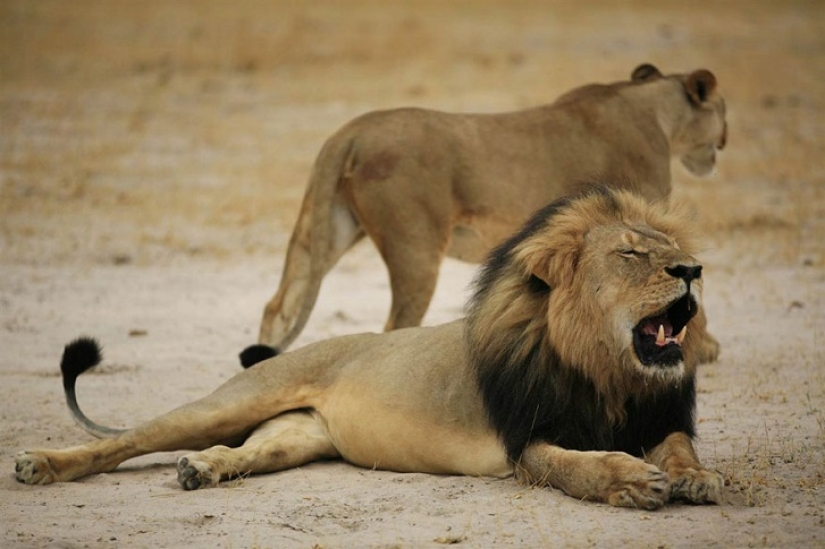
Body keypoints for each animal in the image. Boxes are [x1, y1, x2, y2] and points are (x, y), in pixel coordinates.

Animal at [15, 189, 722, 509]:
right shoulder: (527, 441)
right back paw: (41, 465)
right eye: (631, 254)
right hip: (230, 402)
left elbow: (679, 447)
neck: (608, 373)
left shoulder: (657, 416)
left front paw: (695, 478)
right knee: (125, 441)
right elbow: (579, 466)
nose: (693, 270)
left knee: (243, 451)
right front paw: (631, 480)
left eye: (669, 249)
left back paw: (202, 470)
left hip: (296, 436)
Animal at [256, 63, 727, 357]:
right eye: (722, 109)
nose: (724, 140)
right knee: (395, 325)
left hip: (327, 229)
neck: (655, 109)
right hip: (415, 248)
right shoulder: (641, 215)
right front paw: (702, 347)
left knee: (278, 304)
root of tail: (350, 130)